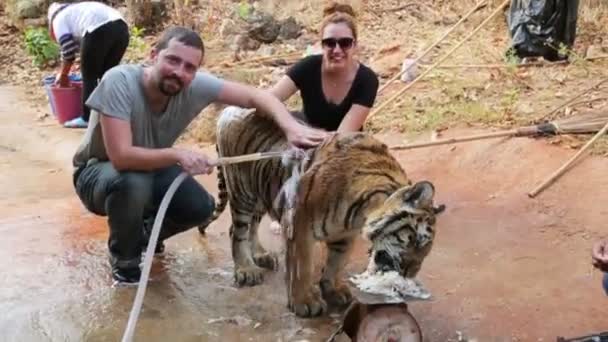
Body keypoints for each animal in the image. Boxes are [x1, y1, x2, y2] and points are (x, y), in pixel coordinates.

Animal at [201, 107, 446, 318]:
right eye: (415, 240)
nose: (409, 275)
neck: (361, 212)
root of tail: (228, 109)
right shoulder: (298, 224)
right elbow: (302, 267)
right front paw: (304, 302)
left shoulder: (345, 235)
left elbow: (336, 263)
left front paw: (333, 288)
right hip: (243, 193)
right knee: (237, 230)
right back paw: (246, 269)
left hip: (262, 193)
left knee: (252, 225)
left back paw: (260, 255)